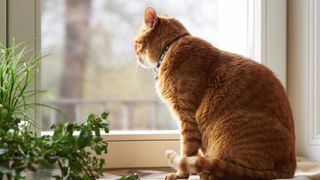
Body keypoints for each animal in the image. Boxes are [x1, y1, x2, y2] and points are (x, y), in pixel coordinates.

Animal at [134, 7, 296, 180]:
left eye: (136, 43)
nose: (136, 56)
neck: (170, 47)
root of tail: (290, 168)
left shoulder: (187, 116)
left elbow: (186, 151)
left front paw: (180, 174)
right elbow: (194, 153)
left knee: (234, 171)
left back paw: (208, 172)